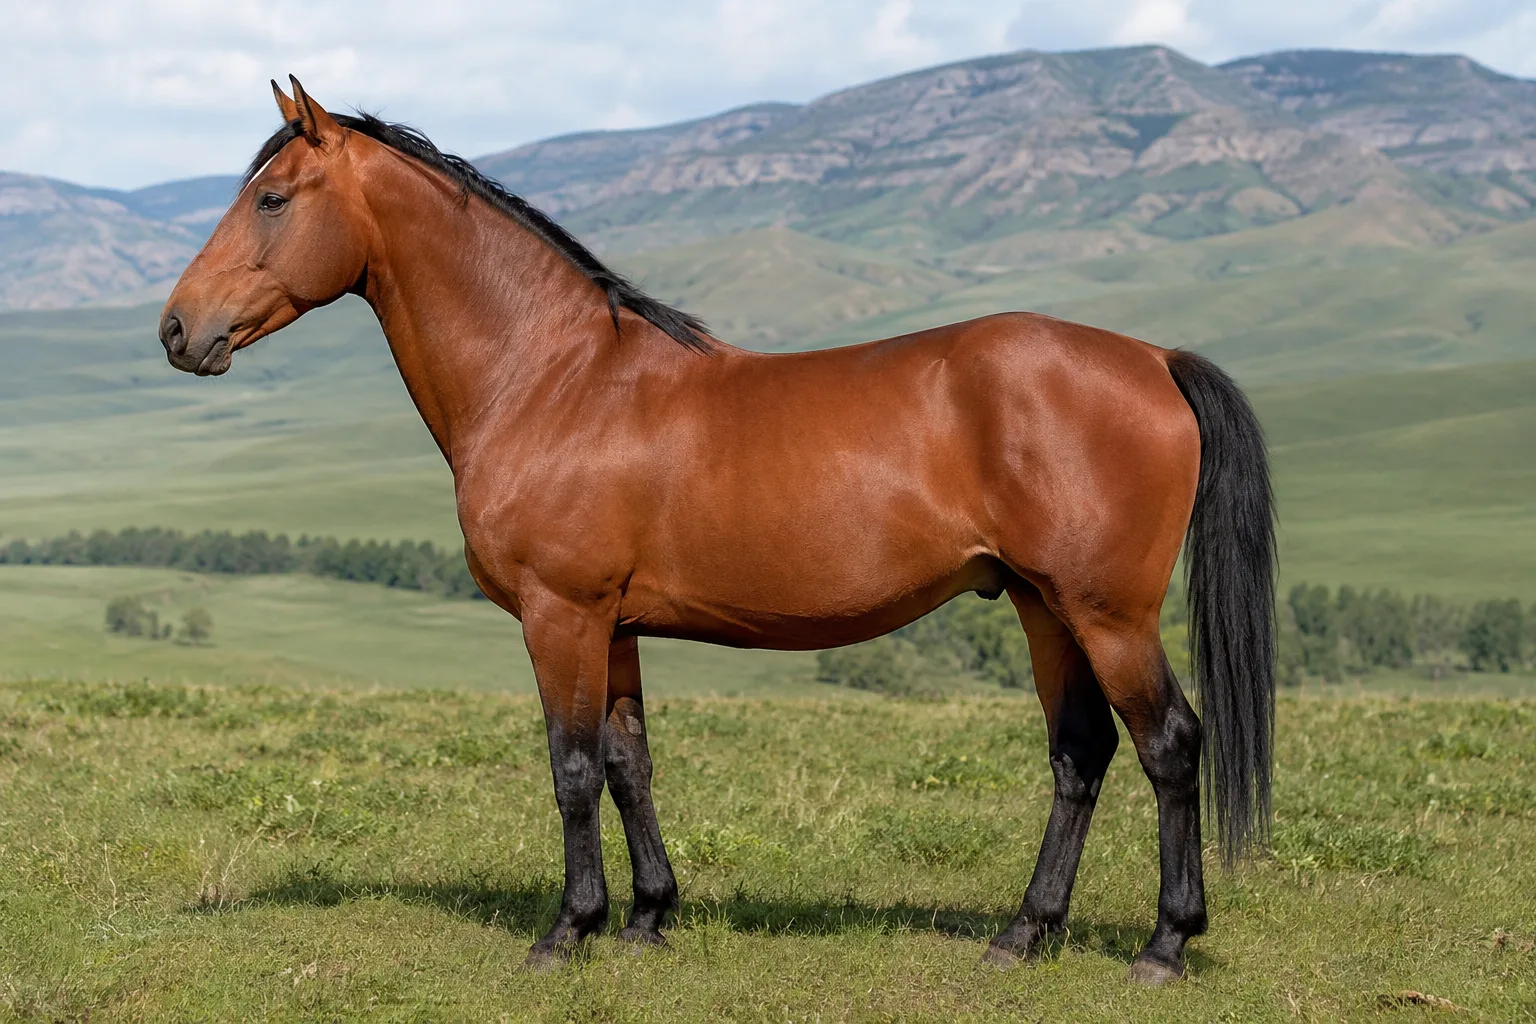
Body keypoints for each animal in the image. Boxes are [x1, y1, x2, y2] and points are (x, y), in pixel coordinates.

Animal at [159, 77, 1275, 984]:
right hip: (1045, 608)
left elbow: (570, 770)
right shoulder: (612, 626)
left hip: (1108, 613)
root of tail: (1152, 358)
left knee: (1169, 745)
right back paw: (1023, 934)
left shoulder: (559, 616)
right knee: (1080, 754)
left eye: (270, 198)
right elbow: (628, 766)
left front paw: (568, 930)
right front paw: (648, 918)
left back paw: (1165, 945)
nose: (176, 329)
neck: (555, 379)